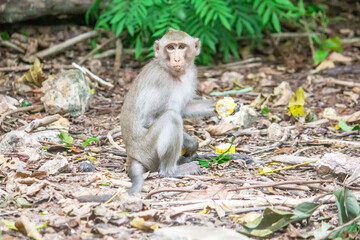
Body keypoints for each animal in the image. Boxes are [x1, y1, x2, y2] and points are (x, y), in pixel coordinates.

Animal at [120, 29, 214, 195]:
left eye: (181, 46)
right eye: (170, 47)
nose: (176, 58)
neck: (175, 75)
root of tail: (132, 154)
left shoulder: (191, 73)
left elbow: (186, 106)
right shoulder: (159, 80)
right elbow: (148, 120)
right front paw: (191, 143)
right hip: (148, 152)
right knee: (171, 117)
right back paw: (171, 171)